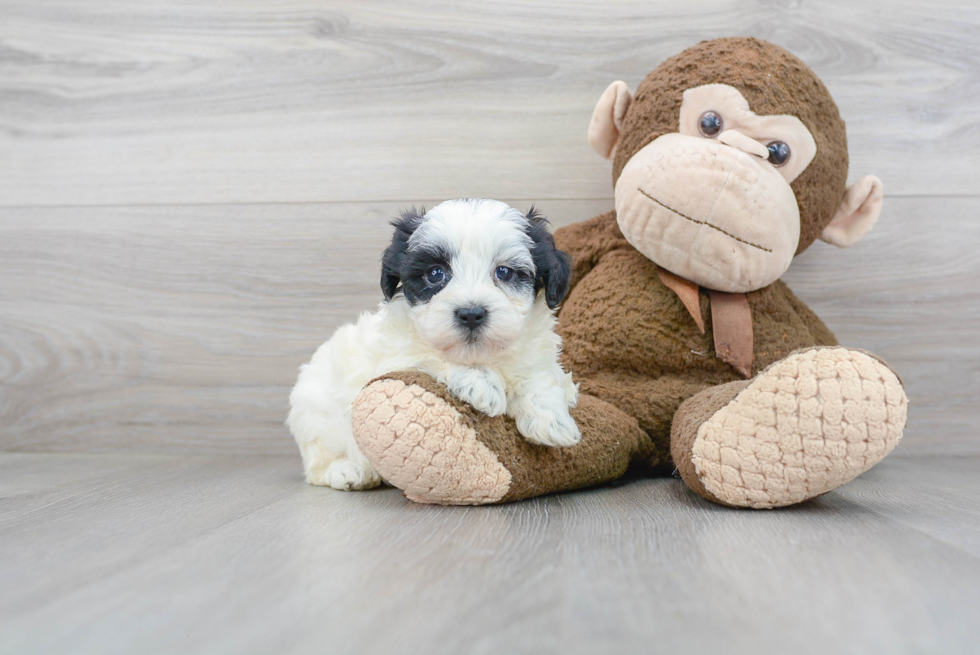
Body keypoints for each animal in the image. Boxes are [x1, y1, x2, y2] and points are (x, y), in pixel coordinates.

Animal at [290, 197, 580, 490]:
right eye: (435, 273)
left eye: (505, 272)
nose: (471, 314)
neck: (484, 355)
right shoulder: (397, 356)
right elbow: (431, 355)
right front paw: (482, 383)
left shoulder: (536, 354)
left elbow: (541, 377)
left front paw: (551, 421)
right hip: (314, 416)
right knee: (318, 462)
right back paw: (349, 471)